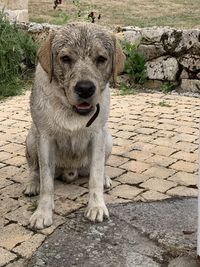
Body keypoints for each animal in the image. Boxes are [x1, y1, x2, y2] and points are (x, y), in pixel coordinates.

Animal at [23, 22, 125, 229]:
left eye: (101, 59)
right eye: (65, 58)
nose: (85, 88)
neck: (72, 111)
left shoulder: (98, 136)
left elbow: (95, 175)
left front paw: (96, 206)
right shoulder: (45, 138)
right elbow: (46, 181)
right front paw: (42, 212)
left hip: (108, 139)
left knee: (98, 168)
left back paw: (105, 178)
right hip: (31, 138)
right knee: (35, 169)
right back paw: (32, 183)